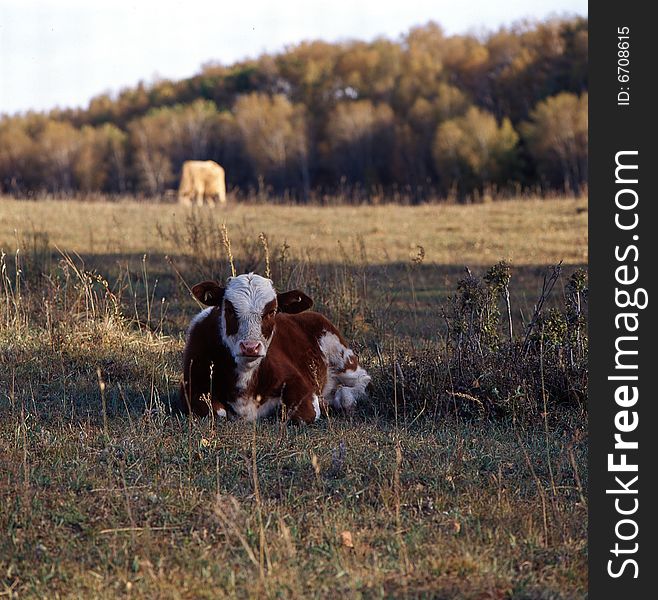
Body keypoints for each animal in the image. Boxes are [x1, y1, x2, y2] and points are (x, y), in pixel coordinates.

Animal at [179, 274, 372, 422]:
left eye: (271, 312)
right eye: (229, 310)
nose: (250, 347)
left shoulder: (298, 380)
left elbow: (305, 413)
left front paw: (323, 404)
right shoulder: (190, 385)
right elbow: (217, 411)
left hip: (341, 356)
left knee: (362, 381)